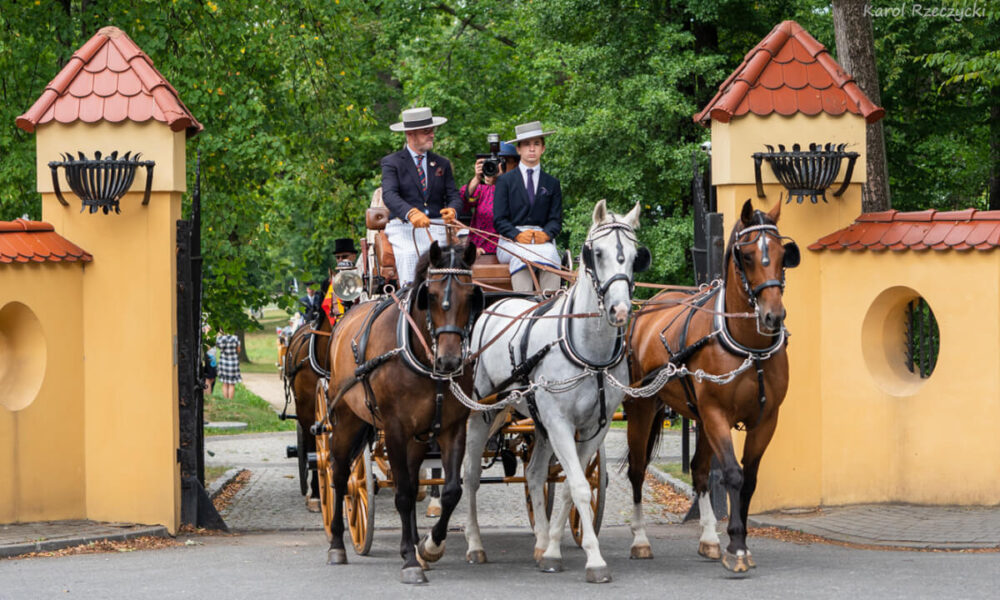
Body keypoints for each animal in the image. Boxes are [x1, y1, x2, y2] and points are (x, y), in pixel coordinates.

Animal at [318, 241, 478, 584]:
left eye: (471, 296)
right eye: (431, 295)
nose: (449, 361)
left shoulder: (452, 427)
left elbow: (451, 491)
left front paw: (429, 547)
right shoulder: (394, 429)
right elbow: (402, 493)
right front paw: (409, 560)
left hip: (417, 438)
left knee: (416, 481)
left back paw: (416, 544)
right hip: (347, 419)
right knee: (339, 473)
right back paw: (337, 544)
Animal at [460, 200, 648, 580]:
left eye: (636, 257)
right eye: (597, 253)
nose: (620, 310)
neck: (588, 351)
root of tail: (494, 305)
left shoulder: (593, 428)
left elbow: (571, 488)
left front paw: (553, 550)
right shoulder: (560, 423)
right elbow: (577, 486)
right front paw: (595, 559)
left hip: (539, 421)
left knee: (534, 474)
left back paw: (541, 542)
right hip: (483, 412)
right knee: (470, 477)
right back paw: (474, 544)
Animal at [624, 200, 796, 572]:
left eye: (782, 253)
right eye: (747, 256)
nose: (773, 317)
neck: (750, 350)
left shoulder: (766, 419)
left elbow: (749, 479)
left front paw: (734, 542)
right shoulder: (717, 413)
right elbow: (732, 473)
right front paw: (737, 546)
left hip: (698, 417)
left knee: (700, 472)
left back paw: (708, 539)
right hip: (642, 406)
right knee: (637, 470)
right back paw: (640, 540)